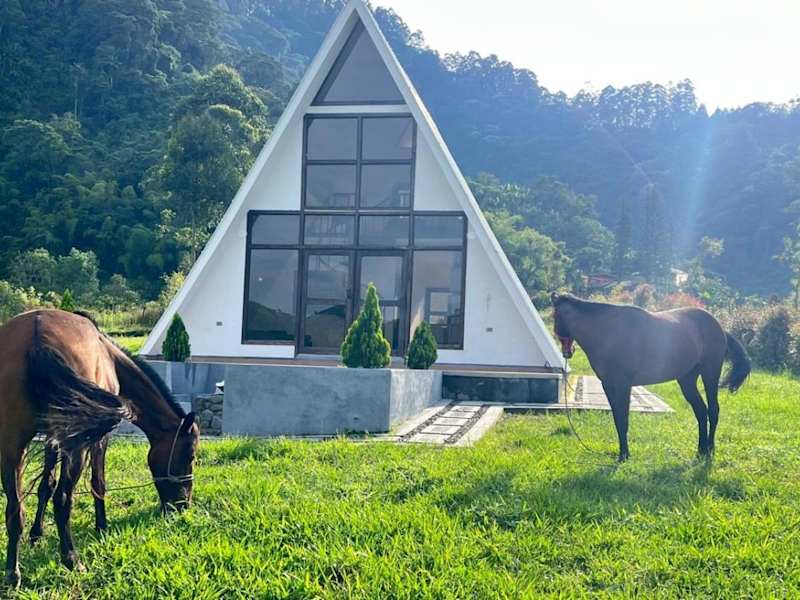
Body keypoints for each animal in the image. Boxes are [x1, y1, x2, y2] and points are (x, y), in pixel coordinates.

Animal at [0, 309, 199, 588]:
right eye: (189, 455)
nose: (183, 505)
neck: (108, 354)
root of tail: (38, 335)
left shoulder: (52, 435)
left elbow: (45, 486)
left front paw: (36, 534)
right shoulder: (98, 439)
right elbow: (98, 483)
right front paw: (102, 527)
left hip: (12, 444)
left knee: (14, 508)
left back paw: (12, 572)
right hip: (74, 448)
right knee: (63, 499)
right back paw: (72, 559)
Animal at [551, 293, 751, 461]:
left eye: (554, 316)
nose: (567, 352)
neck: (608, 332)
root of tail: (719, 328)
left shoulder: (623, 384)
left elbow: (623, 419)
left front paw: (624, 456)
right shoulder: (608, 385)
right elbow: (617, 418)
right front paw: (623, 453)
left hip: (710, 374)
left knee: (713, 410)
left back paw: (710, 449)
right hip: (687, 380)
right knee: (701, 412)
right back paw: (700, 450)